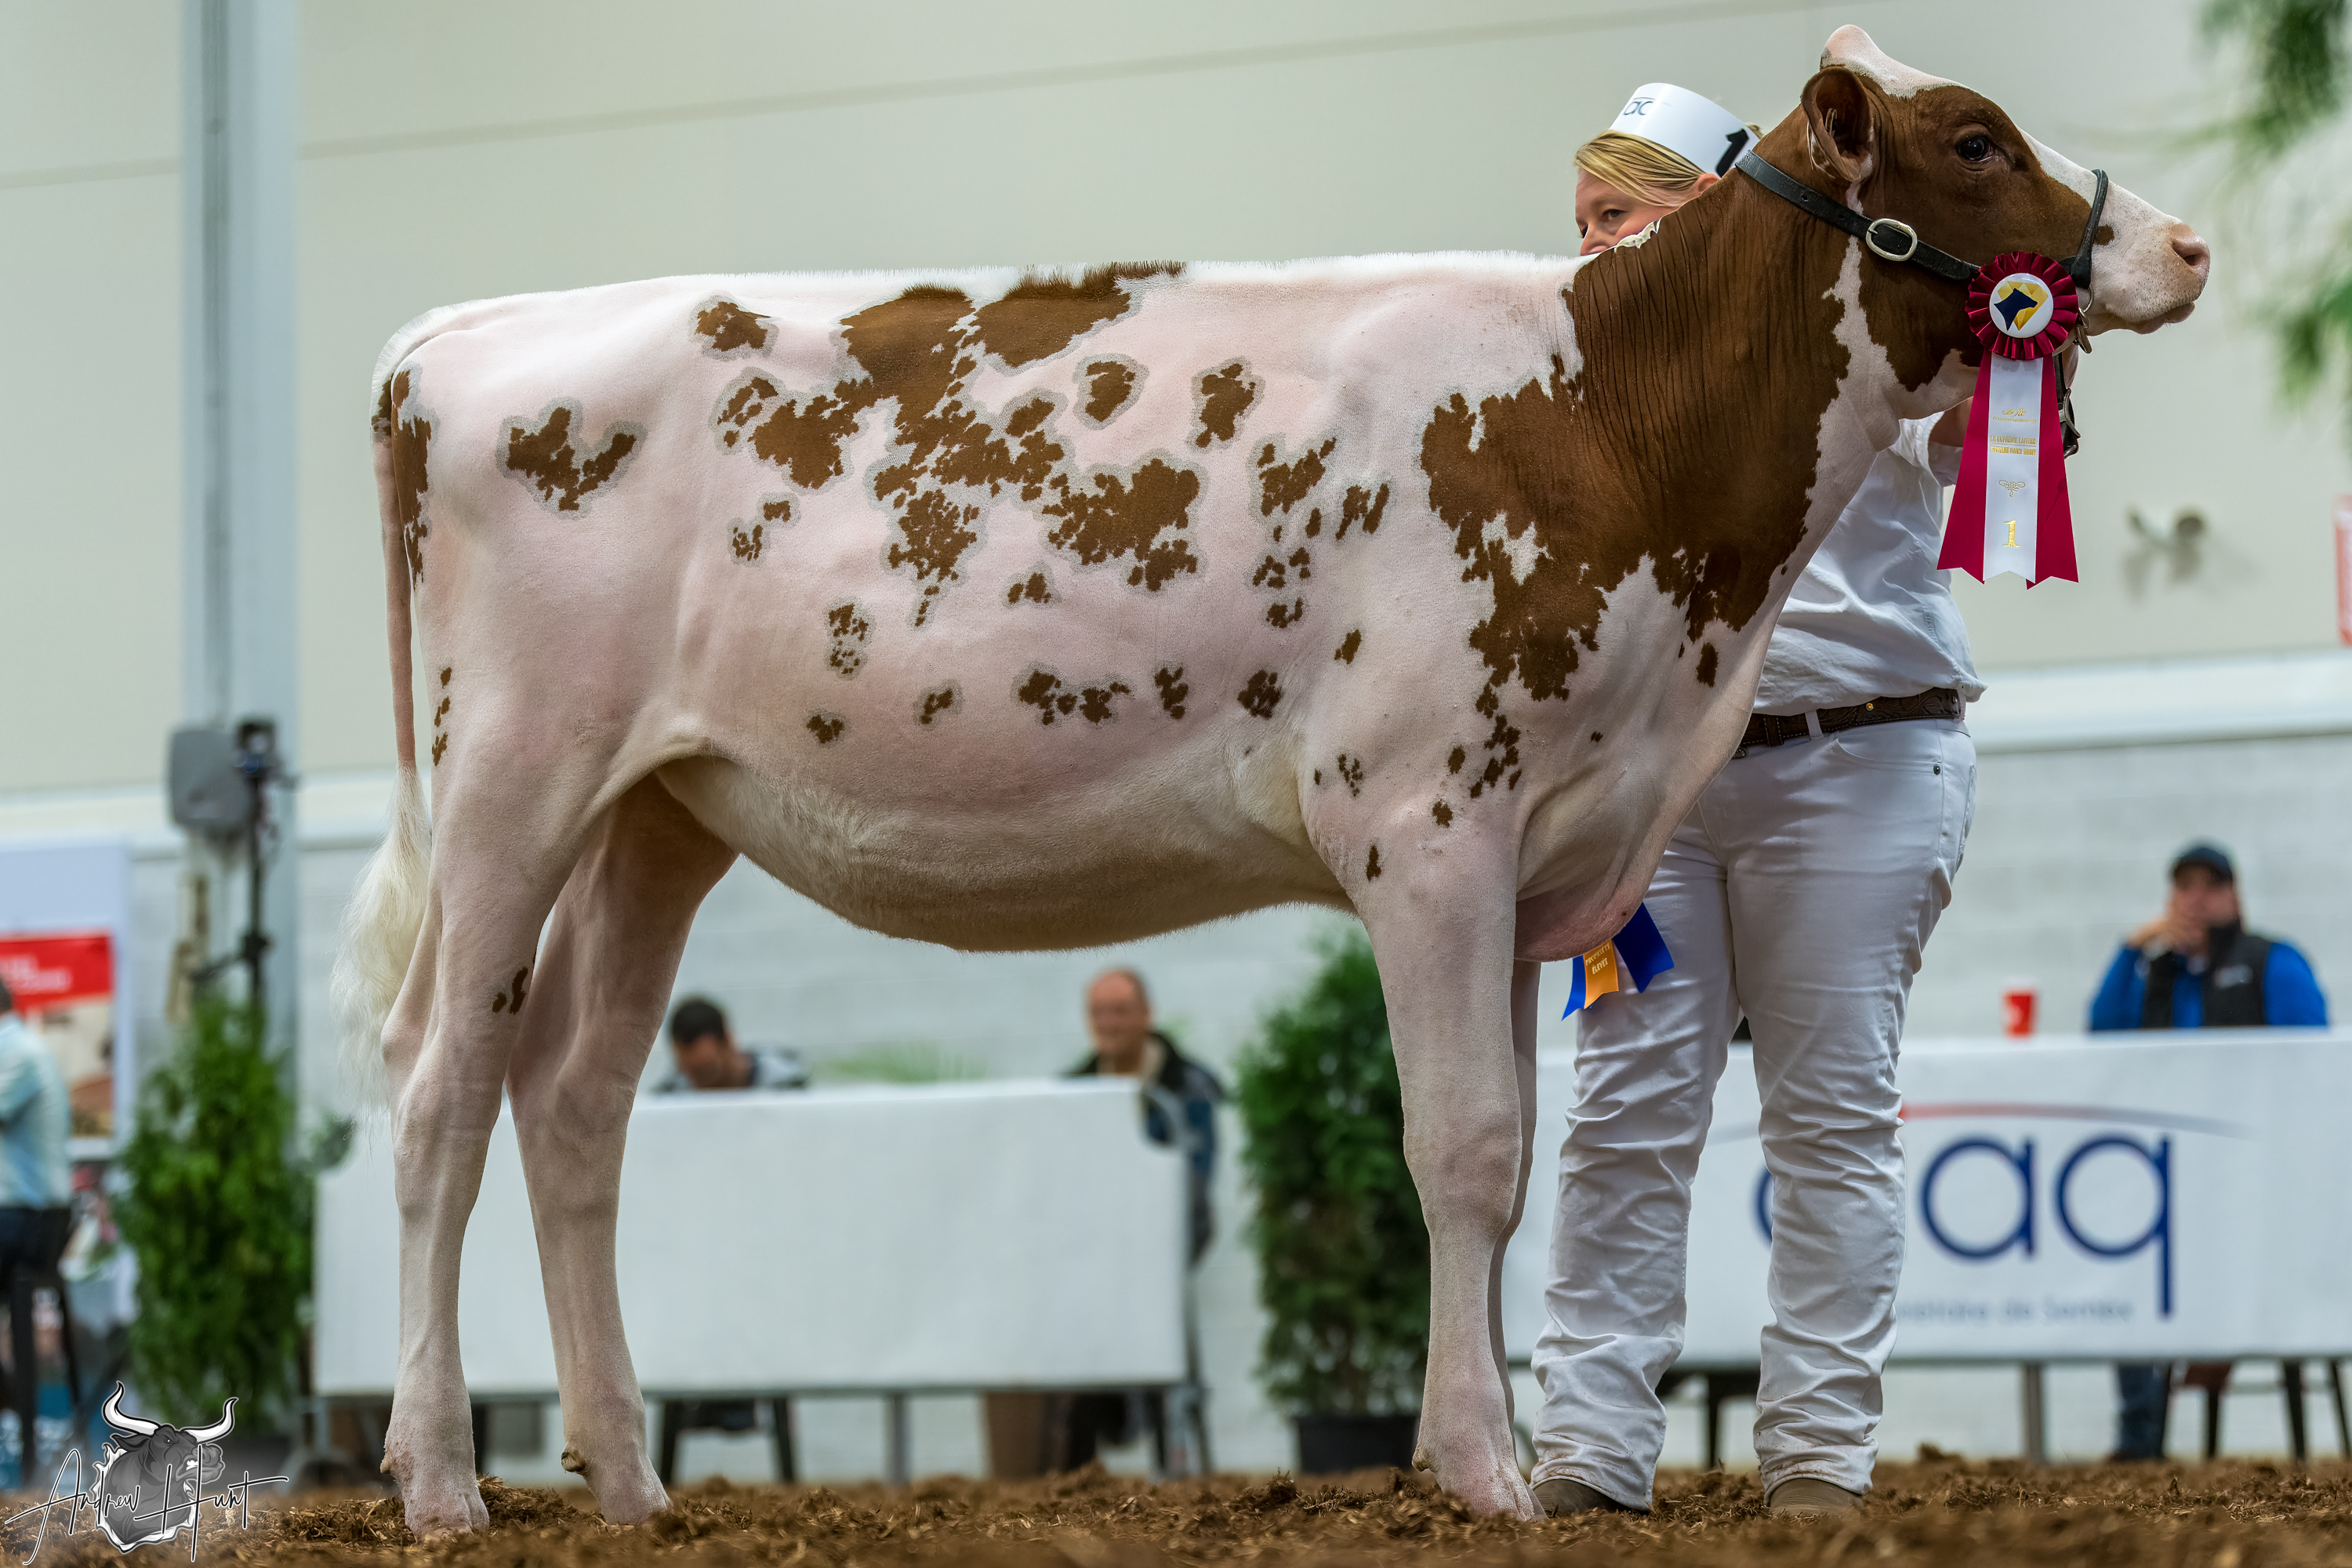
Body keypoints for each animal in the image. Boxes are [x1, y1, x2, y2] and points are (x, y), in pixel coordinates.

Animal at [334, 28, 2207, 1530]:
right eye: (1976, 139)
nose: (2184, 242)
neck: (1610, 426)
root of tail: (456, 341)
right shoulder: (1427, 820)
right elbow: (1467, 1150)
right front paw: (1488, 1472)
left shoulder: (1539, 838)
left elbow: (1516, 1145)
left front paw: (1491, 1451)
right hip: (512, 776)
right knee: (441, 1087)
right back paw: (440, 1482)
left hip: (657, 812)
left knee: (574, 1100)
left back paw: (629, 1483)